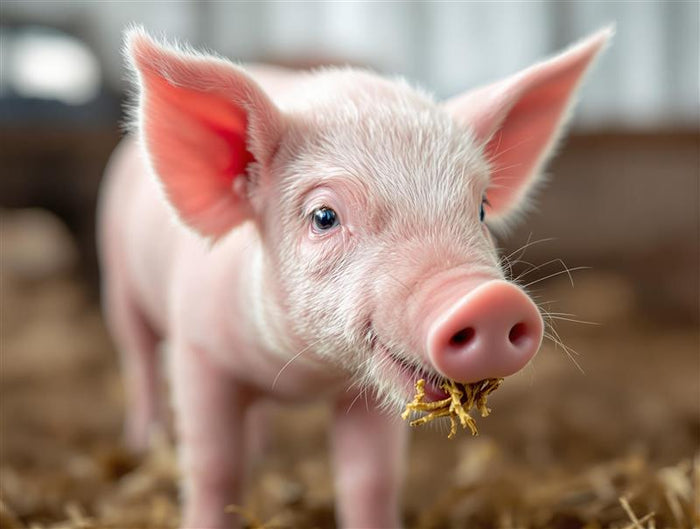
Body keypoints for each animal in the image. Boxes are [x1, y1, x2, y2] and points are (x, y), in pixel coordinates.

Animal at [97, 25, 612, 528]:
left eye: (481, 207)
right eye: (324, 216)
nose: (491, 301)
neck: (305, 375)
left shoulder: (367, 391)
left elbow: (371, 478)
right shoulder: (197, 352)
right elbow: (214, 467)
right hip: (118, 279)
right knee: (138, 360)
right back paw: (141, 442)